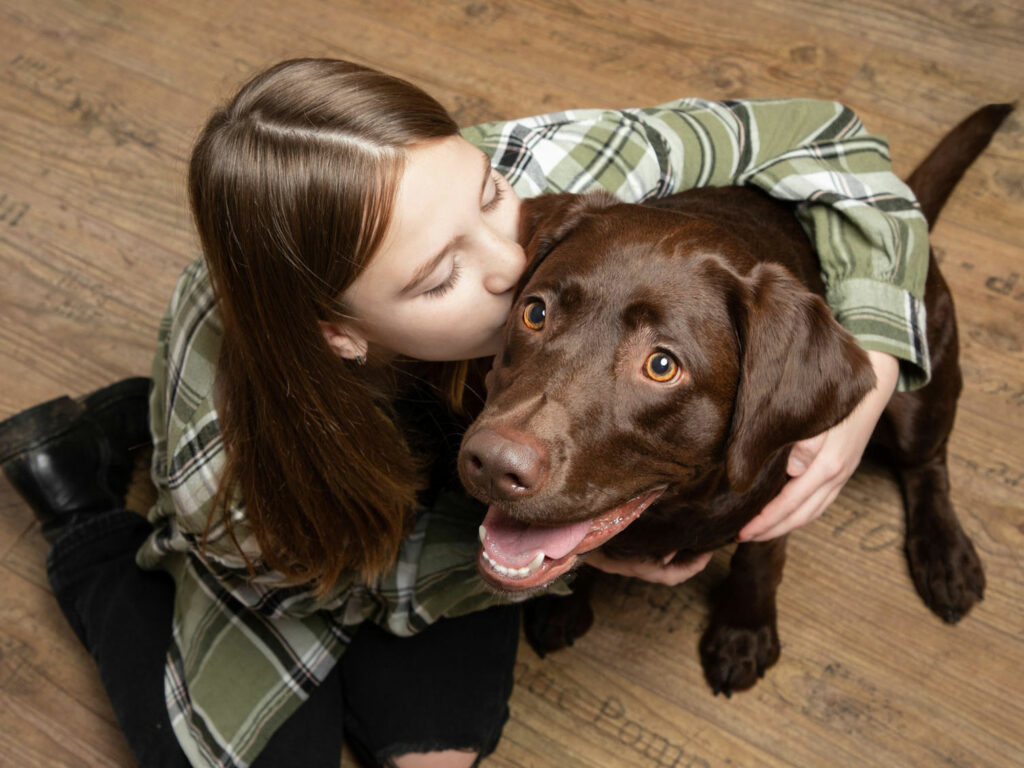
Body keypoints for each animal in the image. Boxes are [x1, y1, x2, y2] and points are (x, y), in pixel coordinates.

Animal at [456, 105, 1007, 700]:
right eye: (535, 313)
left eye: (662, 365)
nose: (492, 463)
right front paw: (566, 605)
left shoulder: (786, 487)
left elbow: (760, 556)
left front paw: (743, 632)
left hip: (917, 396)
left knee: (928, 461)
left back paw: (945, 555)